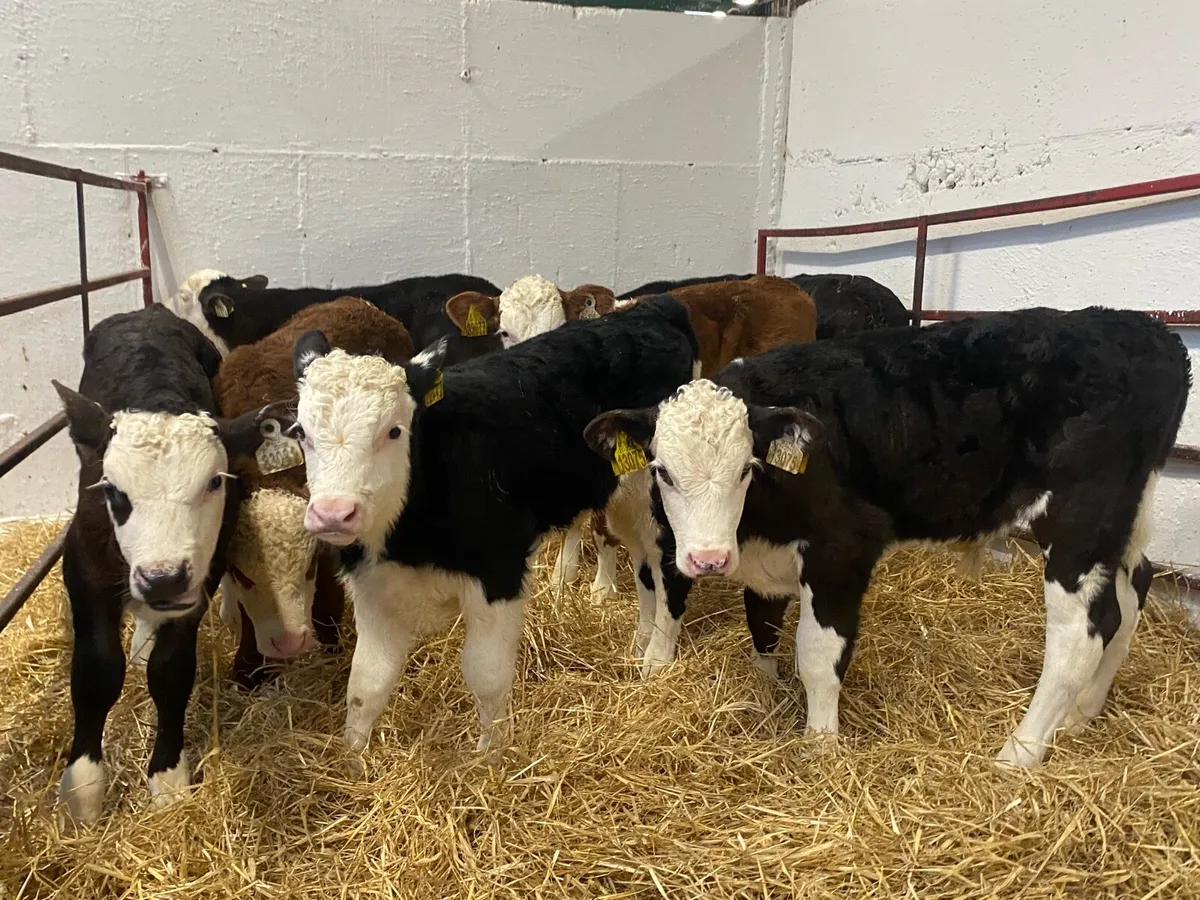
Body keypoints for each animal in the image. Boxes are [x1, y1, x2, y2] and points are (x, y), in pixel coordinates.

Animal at [52, 304, 270, 823]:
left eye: (215, 482)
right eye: (113, 490)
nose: (162, 578)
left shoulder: (197, 583)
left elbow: (171, 673)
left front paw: (168, 775)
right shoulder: (83, 569)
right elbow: (95, 671)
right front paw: (83, 788)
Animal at [289, 296, 699, 753]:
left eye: (393, 431)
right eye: (301, 432)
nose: (333, 513)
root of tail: (652, 307)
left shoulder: (499, 574)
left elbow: (486, 676)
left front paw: (490, 758)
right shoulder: (374, 588)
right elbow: (365, 686)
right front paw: (353, 760)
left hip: (659, 496)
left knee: (669, 569)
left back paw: (657, 658)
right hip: (623, 500)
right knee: (645, 567)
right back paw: (641, 640)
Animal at [585, 307, 1190, 767]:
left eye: (745, 468)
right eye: (663, 470)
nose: (708, 559)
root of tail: (1144, 329)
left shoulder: (843, 547)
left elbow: (817, 652)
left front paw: (820, 747)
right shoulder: (764, 558)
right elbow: (762, 626)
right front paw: (766, 694)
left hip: (1079, 523)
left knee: (1082, 634)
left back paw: (1017, 754)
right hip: (1126, 519)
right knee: (1131, 596)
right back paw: (1082, 714)